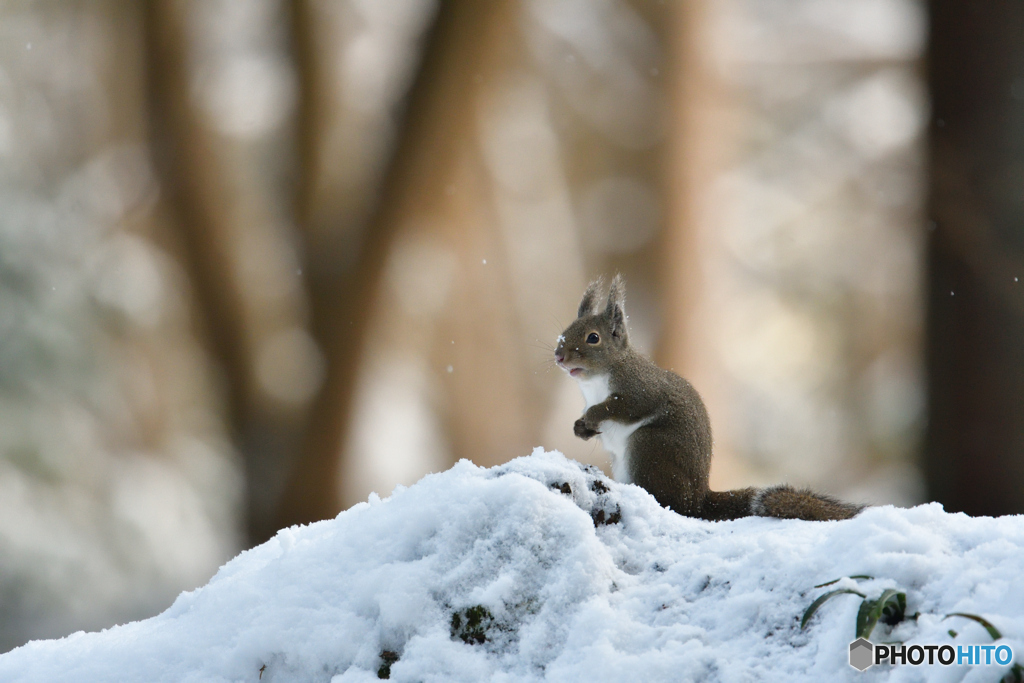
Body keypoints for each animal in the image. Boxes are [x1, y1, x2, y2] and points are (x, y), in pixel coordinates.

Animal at [557, 274, 860, 520]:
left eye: (593, 338)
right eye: (565, 331)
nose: (559, 356)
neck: (597, 380)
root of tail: (699, 498)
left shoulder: (640, 389)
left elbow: (624, 407)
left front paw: (592, 416)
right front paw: (580, 428)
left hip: (649, 447)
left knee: (673, 504)